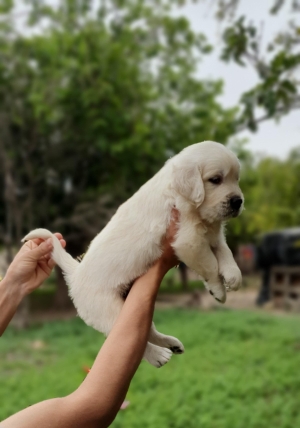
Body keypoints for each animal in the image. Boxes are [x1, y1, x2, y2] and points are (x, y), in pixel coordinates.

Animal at [23, 141, 244, 368]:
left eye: (236, 179)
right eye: (215, 180)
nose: (238, 201)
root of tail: (76, 274)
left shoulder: (212, 233)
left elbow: (224, 251)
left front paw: (233, 277)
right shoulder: (189, 241)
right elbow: (211, 264)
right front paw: (218, 290)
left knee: (148, 331)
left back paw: (171, 344)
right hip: (109, 311)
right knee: (126, 339)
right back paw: (158, 355)